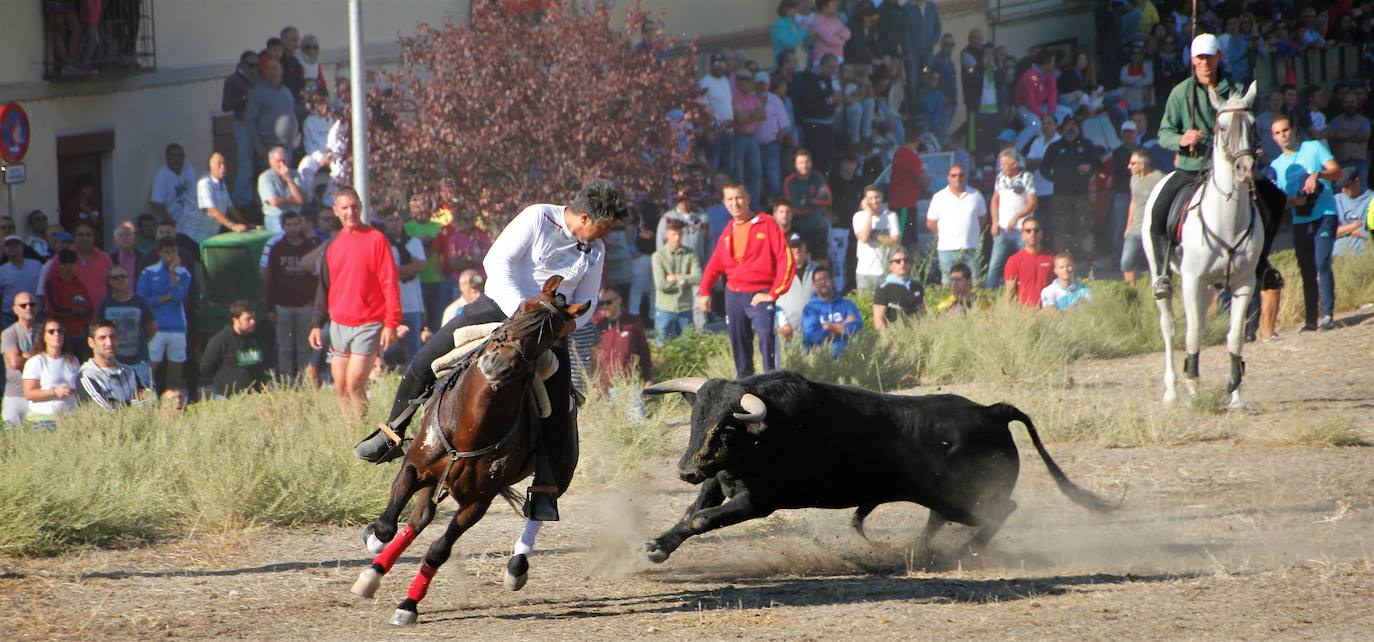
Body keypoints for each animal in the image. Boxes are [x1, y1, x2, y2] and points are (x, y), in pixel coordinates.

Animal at [348, 277, 585, 629]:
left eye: (551, 335)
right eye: (520, 310)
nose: (496, 364)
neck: (469, 427)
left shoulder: (477, 502)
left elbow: (438, 549)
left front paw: (408, 605)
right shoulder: (414, 468)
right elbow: (388, 524)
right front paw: (374, 547)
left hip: (563, 466)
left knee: (540, 505)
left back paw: (517, 567)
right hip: (435, 480)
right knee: (417, 520)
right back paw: (374, 570)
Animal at [637, 371, 1110, 563]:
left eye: (727, 427)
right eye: (696, 418)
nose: (685, 470)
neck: (769, 430)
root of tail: (993, 412)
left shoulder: (759, 500)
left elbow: (702, 518)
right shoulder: (719, 480)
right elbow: (692, 511)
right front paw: (659, 544)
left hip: (967, 501)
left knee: (999, 512)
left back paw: (963, 553)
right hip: (946, 500)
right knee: (941, 520)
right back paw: (923, 551)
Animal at [1143, 81, 1258, 412]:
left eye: (1253, 124)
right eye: (1222, 126)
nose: (1245, 167)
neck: (1227, 219)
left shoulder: (1245, 282)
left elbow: (1234, 337)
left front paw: (1235, 394)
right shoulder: (1192, 281)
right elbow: (1191, 335)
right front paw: (1193, 392)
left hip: (1208, 286)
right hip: (1163, 275)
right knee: (1169, 326)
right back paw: (1172, 390)